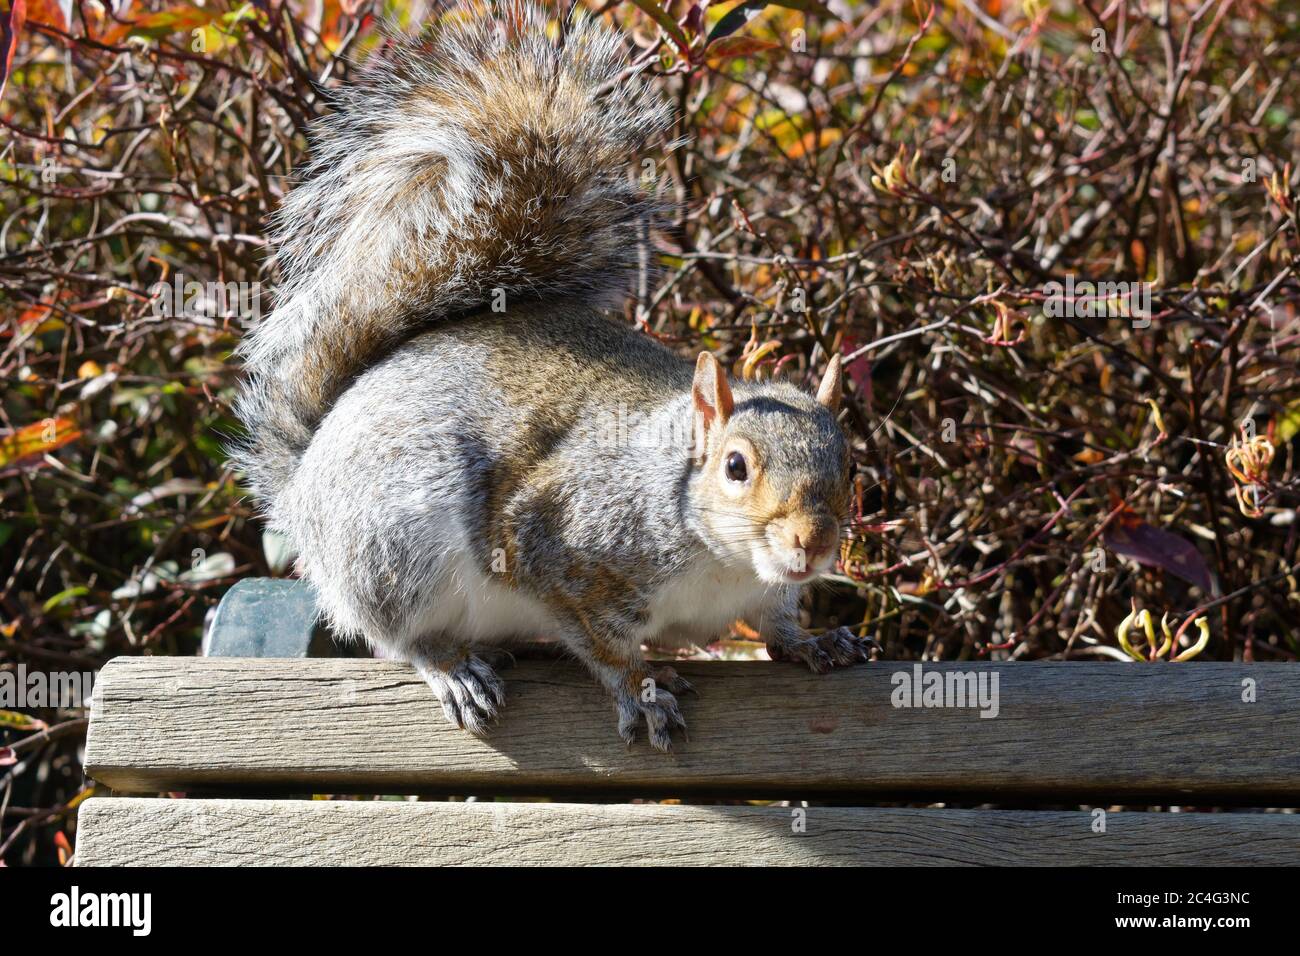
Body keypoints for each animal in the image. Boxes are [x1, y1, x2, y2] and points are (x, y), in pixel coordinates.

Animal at [234, 0, 875, 751]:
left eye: (851, 467)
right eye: (736, 467)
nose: (814, 542)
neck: (725, 560)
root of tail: (303, 484)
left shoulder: (764, 590)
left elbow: (776, 624)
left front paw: (812, 641)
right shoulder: (555, 544)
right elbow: (599, 641)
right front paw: (642, 692)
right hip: (393, 542)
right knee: (399, 633)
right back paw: (452, 666)